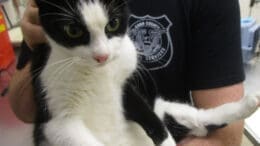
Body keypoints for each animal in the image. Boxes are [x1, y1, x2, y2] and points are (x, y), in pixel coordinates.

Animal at [16, 0, 260, 146]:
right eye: (73, 30)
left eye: (113, 24)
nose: (102, 56)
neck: (96, 73)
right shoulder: (57, 120)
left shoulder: (126, 85)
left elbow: (151, 120)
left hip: (164, 107)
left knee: (201, 116)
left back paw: (247, 104)